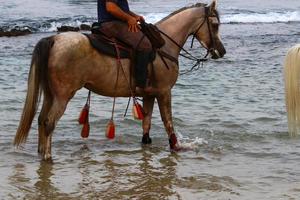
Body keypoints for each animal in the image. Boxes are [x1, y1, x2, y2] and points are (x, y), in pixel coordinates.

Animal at [13, 0, 225, 159]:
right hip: (63, 95)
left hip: (51, 94)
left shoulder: (149, 94)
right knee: (49, 122)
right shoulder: (164, 92)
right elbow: (168, 123)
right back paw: (48, 157)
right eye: (215, 25)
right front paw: (176, 147)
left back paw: (41, 153)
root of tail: (54, 40)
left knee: (41, 120)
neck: (163, 46)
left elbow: (146, 124)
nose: (221, 51)